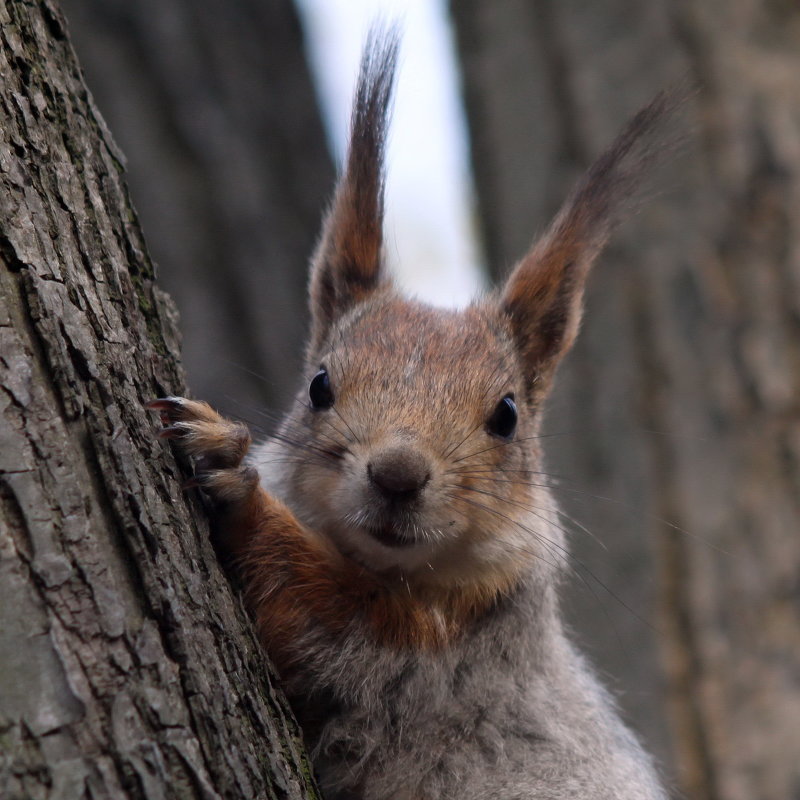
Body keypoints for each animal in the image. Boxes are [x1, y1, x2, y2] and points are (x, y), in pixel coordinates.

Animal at [148, 26, 668, 800]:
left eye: (507, 415)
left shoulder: (438, 658)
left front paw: (233, 474)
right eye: (320, 385)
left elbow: (324, 621)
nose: (396, 474)